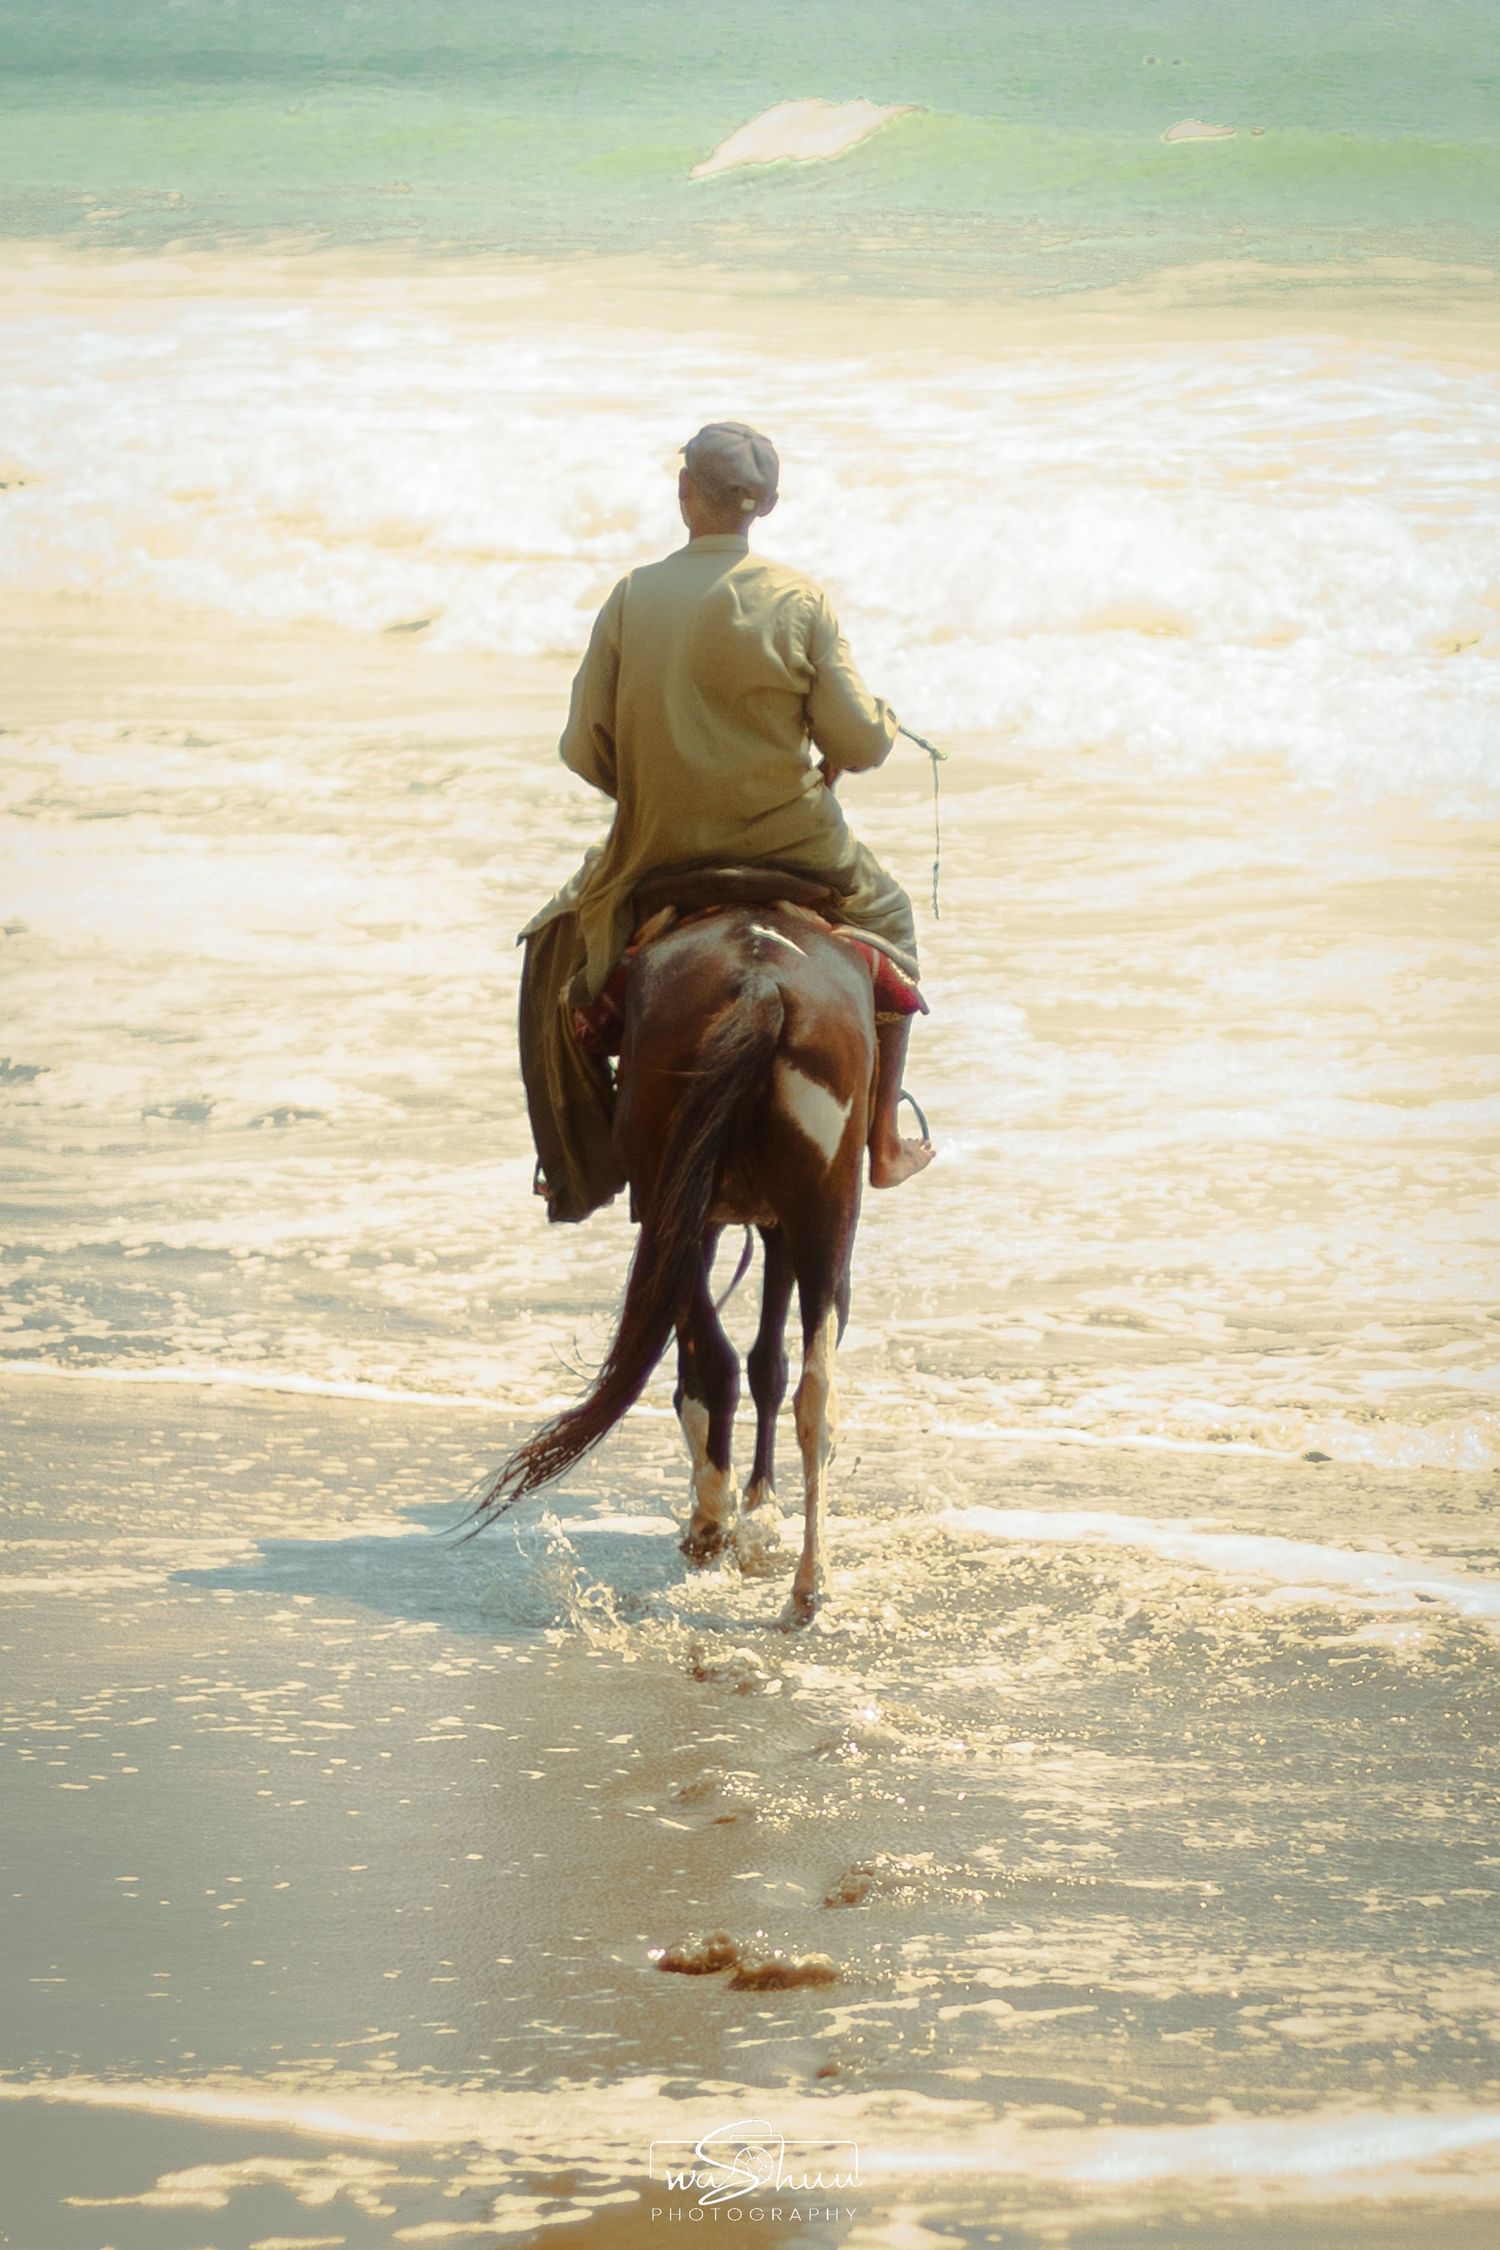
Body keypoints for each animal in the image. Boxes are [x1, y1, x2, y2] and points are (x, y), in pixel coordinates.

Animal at [472, 882, 876, 1626]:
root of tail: (762, 984)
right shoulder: (764, 1220)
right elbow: (765, 1362)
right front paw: (759, 1514)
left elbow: (741, 1362)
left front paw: (750, 1513)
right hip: (818, 1212)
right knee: (809, 1388)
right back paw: (802, 1581)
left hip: (689, 1202)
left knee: (723, 1362)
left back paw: (723, 1527)